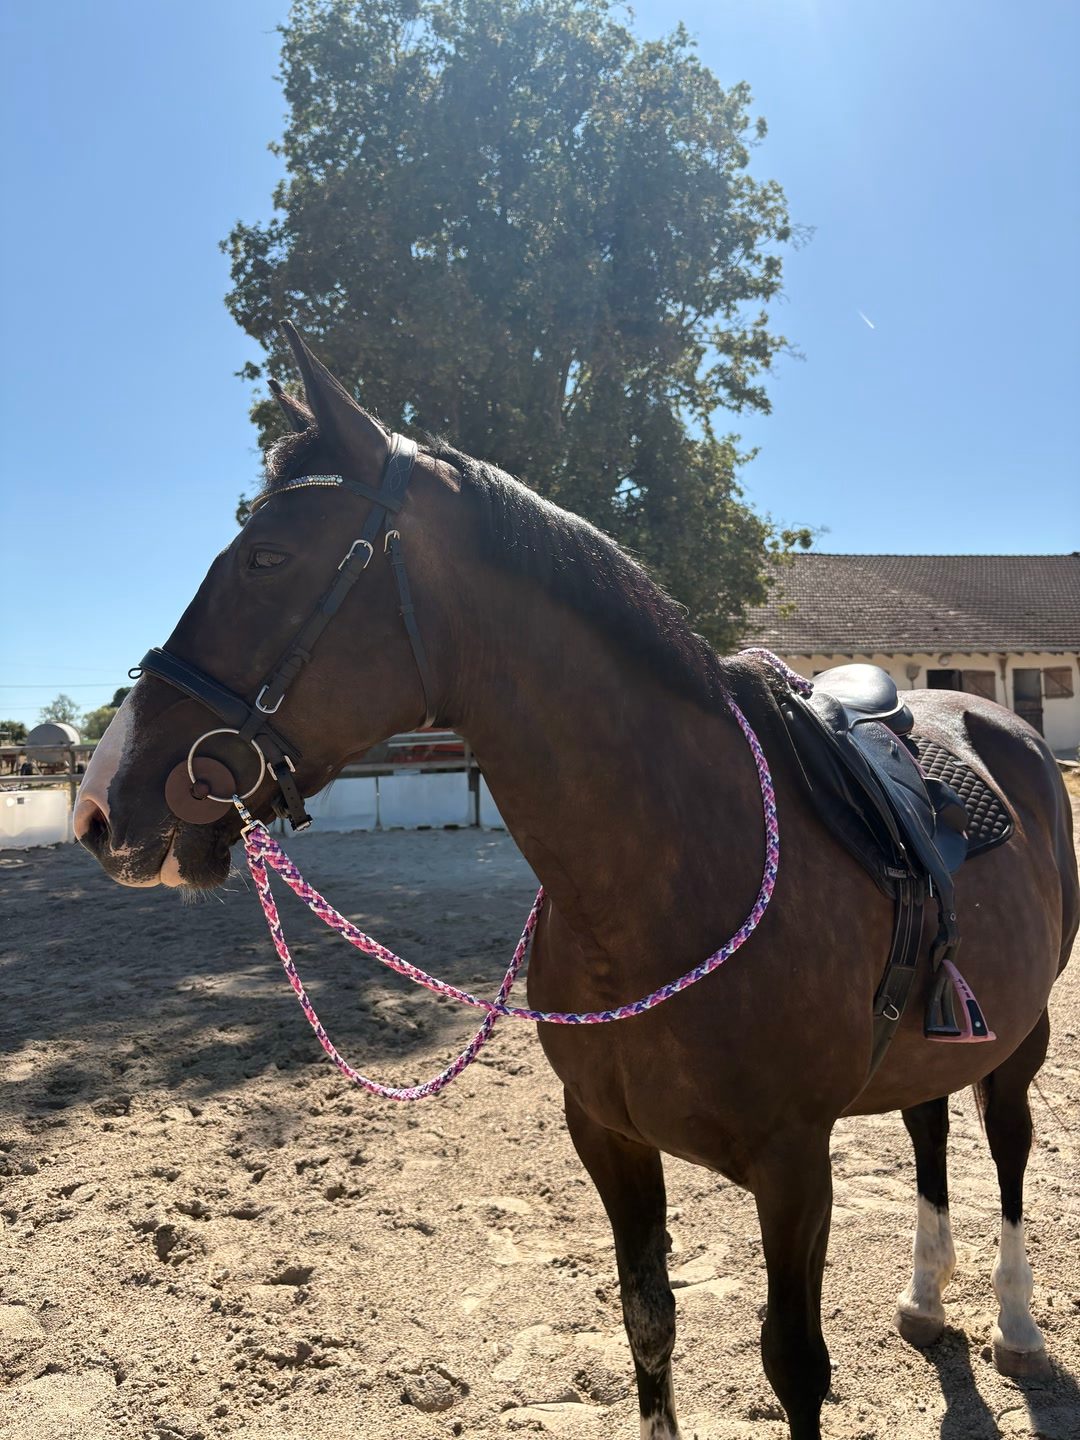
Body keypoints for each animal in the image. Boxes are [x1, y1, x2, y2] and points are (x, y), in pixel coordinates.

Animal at [75, 324, 1077, 1440]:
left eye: (267, 559)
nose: (103, 804)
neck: (669, 876)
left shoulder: (794, 1163)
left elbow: (795, 1365)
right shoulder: (608, 1140)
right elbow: (647, 1324)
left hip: (1023, 1036)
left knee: (1008, 1148)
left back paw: (1016, 1324)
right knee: (929, 1126)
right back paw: (926, 1298)